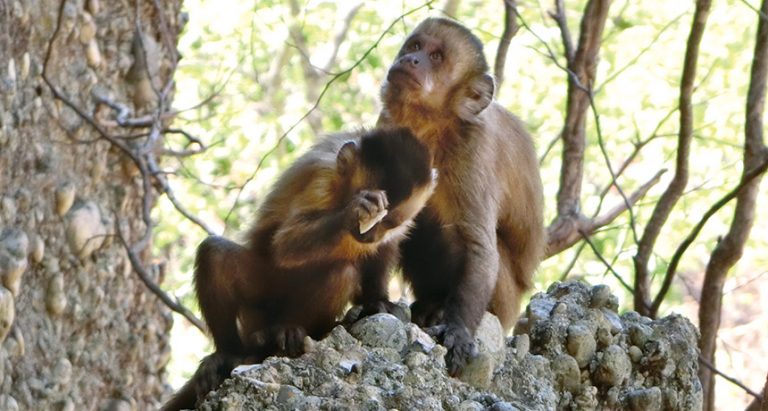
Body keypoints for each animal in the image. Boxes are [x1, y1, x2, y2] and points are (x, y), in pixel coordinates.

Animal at [161, 127, 437, 410]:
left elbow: (386, 248)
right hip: (259, 303)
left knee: (341, 274)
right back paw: (232, 353)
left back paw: (290, 331)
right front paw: (354, 210)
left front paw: (378, 301)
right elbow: (285, 244)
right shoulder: (321, 177)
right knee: (215, 253)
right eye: (370, 208)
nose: (369, 233)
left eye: (390, 221)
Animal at [375, 17, 545, 376]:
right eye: (415, 46)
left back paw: (439, 309)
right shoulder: (389, 129)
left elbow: (478, 245)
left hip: (506, 303)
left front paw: (458, 329)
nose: (411, 60)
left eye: (436, 57)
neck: (433, 128)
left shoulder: (472, 150)